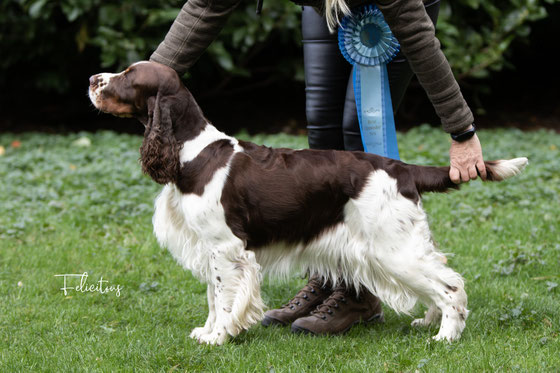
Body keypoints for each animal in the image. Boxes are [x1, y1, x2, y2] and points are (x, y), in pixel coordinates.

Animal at [88, 61, 528, 342]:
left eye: (129, 75)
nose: (93, 78)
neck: (192, 153)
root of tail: (402, 169)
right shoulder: (208, 247)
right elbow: (213, 297)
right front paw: (208, 332)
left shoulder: (225, 248)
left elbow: (225, 298)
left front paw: (218, 337)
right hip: (402, 242)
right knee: (440, 276)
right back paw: (428, 322)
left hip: (391, 247)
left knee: (451, 286)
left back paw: (446, 336)